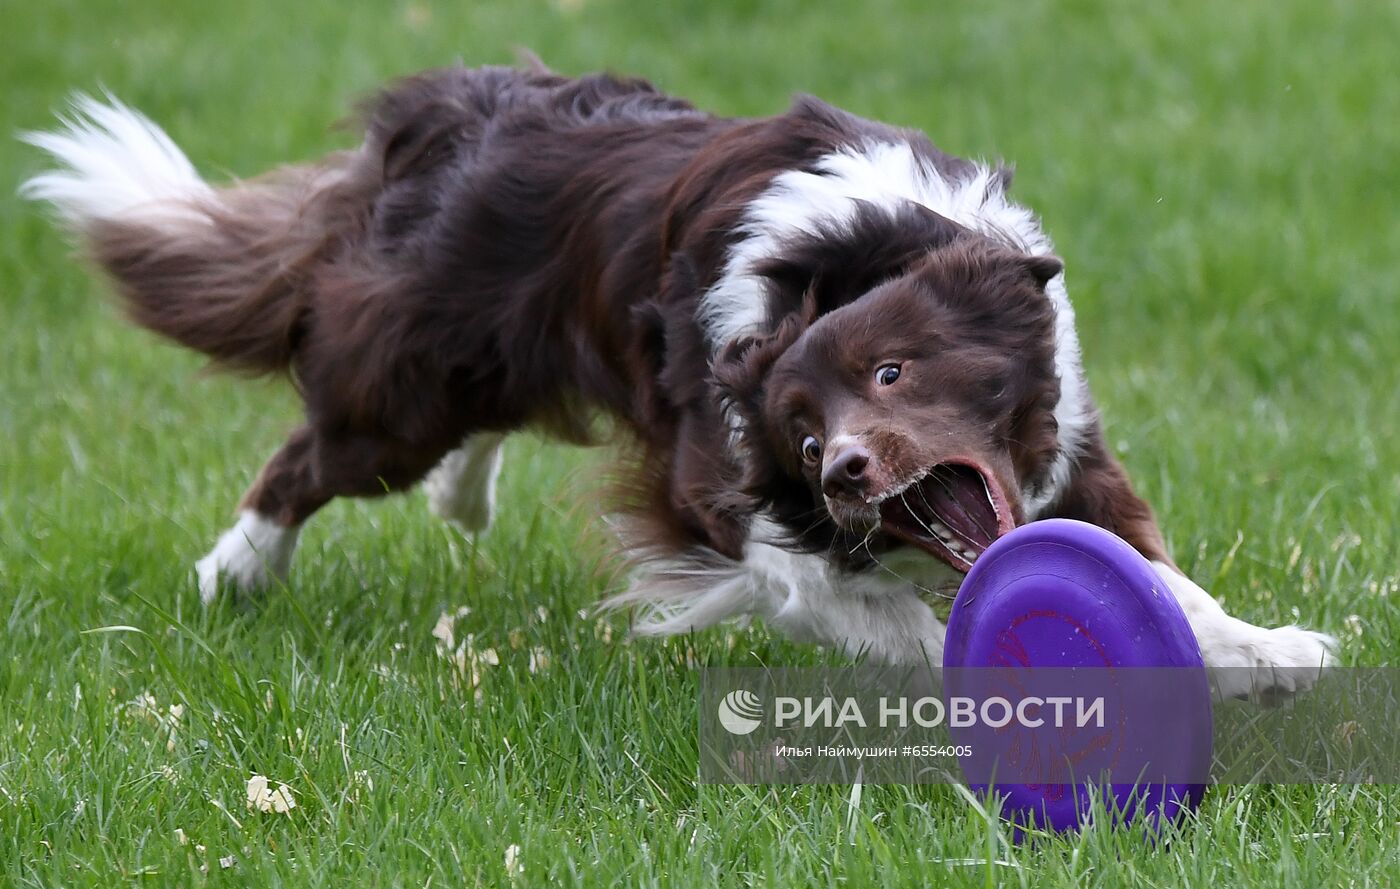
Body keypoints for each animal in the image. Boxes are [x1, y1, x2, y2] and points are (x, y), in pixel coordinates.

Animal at [21, 64, 1332, 702]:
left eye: (894, 368)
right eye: (800, 439)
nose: (846, 471)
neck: (845, 257)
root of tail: (453, 114)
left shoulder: (1069, 454)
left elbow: (1166, 579)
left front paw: (1267, 650)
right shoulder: (724, 501)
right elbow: (882, 612)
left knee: (476, 431)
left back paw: (461, 497)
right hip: (404, 389)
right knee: (308, 456)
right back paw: (234, 573)